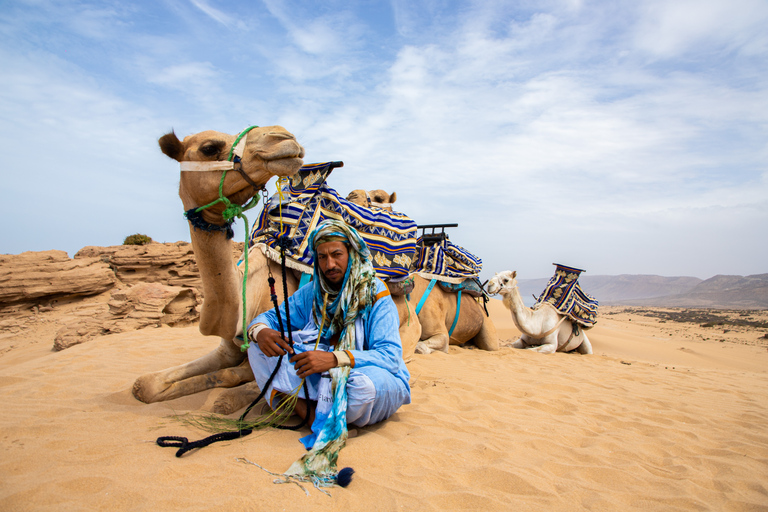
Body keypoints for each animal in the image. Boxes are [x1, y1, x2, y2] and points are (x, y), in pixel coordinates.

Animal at [130, 128, 304, 412]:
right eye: (209, 148)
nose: (284, 136)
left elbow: (231, 386)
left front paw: (228, 398)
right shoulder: (227, 349)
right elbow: (145, 385)